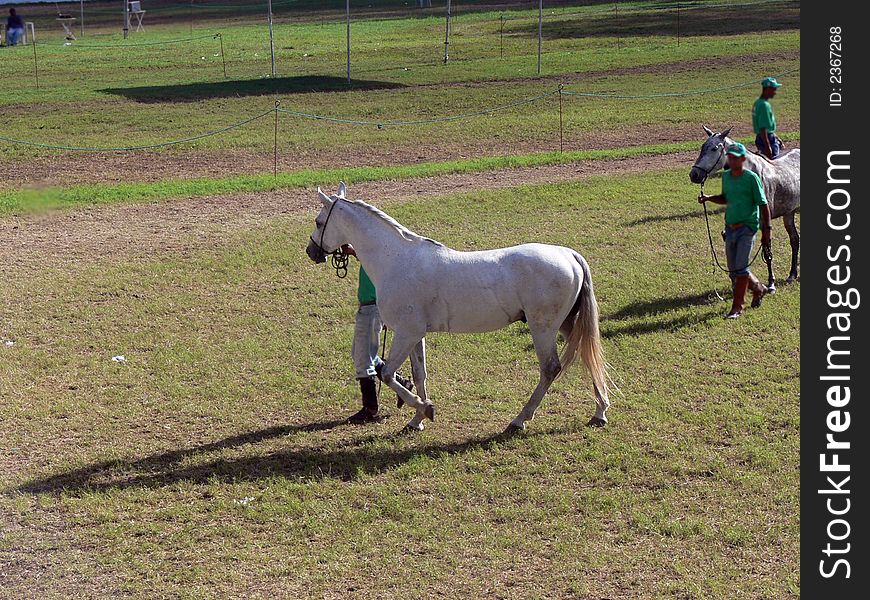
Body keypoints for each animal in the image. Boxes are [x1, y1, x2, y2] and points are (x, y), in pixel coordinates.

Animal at [308, 183, 612, 432]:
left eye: (319, 221)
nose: (312, 252)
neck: (397, 260)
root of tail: (568, 254)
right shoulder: (416, 335)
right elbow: (419, 375)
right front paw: (416, 420)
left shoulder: (406, 333)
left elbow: (387, 373)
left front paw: (425, 409)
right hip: (566, 323)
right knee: (588, 355)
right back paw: (600, 412)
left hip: (543, 328)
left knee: (550, 369)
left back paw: (519, 420)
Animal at [692, 125, 800, 290]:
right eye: (702, 147)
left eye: (714, 148)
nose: (694, 174)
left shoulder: (764, 221)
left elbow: (767, 250)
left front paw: (771, 282)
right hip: (789, 213)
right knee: (795, 240)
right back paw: (792, 274)